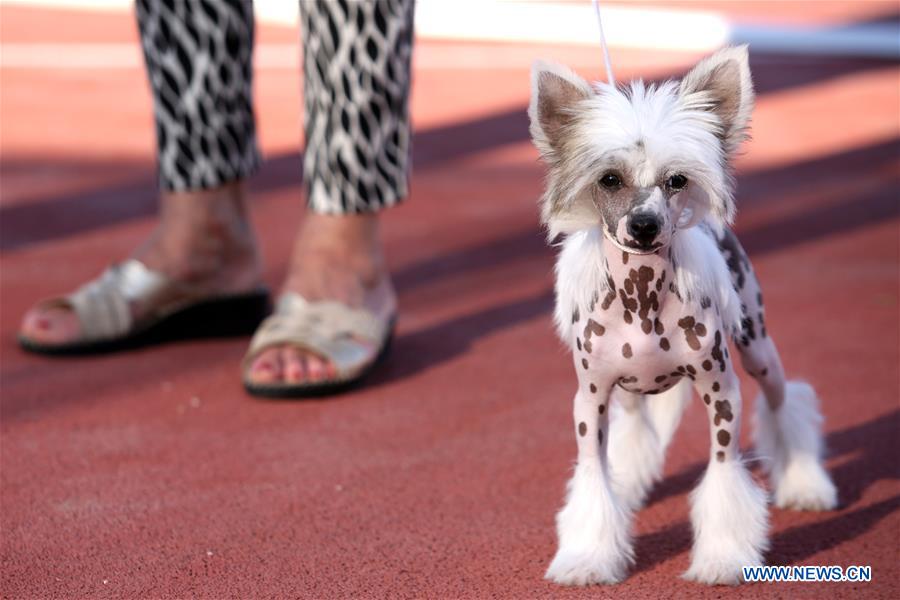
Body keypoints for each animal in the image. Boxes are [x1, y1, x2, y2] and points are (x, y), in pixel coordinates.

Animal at [528, 47, 836, 584]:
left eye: (677, 181)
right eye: (609, 179)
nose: (644, 225)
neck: (642, 297)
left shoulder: (722, 392)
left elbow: (723, 477)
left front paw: (724, 558)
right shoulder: (590, 400)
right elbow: (592, 476)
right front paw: (588, 557)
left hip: (757, 346)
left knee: (783, 400)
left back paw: (805, 483)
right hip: (626, 389)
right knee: (633, 427)